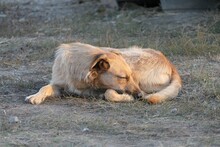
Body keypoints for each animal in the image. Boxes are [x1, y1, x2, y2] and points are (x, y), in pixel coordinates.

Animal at [24, 42, 181, 104]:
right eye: (123, 77)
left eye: (128, 76)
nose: (139, 96)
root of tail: (170, 63)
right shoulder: (59, 83)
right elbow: (45, 87)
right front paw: (36, 96)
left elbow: (108, 93)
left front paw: (126, 98)